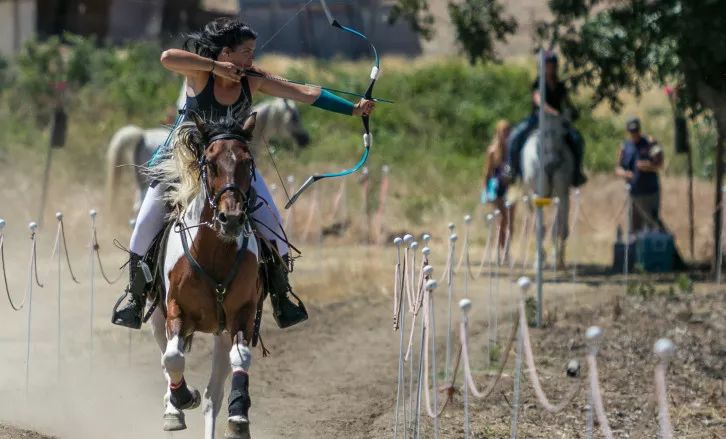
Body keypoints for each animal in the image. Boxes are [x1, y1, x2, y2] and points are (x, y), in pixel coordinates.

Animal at [146, 111, 264, 438]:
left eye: (247, 162)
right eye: (210, 163)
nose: (231, 218)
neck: (214, 254)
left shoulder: (243, 312)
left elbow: (241, 358)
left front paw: (239, 418)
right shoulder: (176, 309)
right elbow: (173, 358)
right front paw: (183, 398)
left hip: (221, 332)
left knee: (214, 396)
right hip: (158, 318)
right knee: (166, 356)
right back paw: (173, 408)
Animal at [524, 111, 576, 270]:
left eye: (563, 134)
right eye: (545, 134)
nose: (552, 163)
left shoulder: (561, 195)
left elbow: (557, 229)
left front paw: (555, 259)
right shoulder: (536, 195)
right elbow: (540, 229)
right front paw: (539, 260)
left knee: (561, 228)